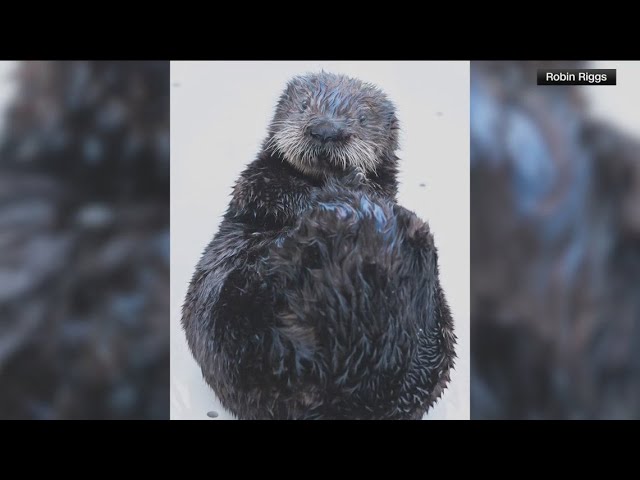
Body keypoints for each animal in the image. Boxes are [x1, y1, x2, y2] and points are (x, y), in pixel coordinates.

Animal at [182, 72, 455, 420]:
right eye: (303, 105)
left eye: (362, 118)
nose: (326, 130)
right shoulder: (256, 181)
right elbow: (273, 192)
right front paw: (345, 185)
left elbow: (380, 191)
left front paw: (358, 183)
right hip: (248, 311)